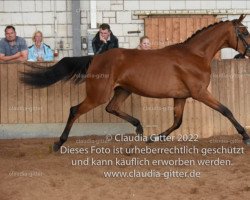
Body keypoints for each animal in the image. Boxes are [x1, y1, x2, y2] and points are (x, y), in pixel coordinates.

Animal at [21, 14, 250, 152]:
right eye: (244, 32)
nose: (249, 52)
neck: (195, 55)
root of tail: (96, 58)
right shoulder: (200, 93)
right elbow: (226, 110)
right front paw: (245, 136)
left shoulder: (181, 96)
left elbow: (177, 122)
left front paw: (154, 138)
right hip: (98, 94)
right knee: (75, 110)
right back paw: (58, 143)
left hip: (123, 90)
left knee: (111, 107)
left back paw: (139, 127)